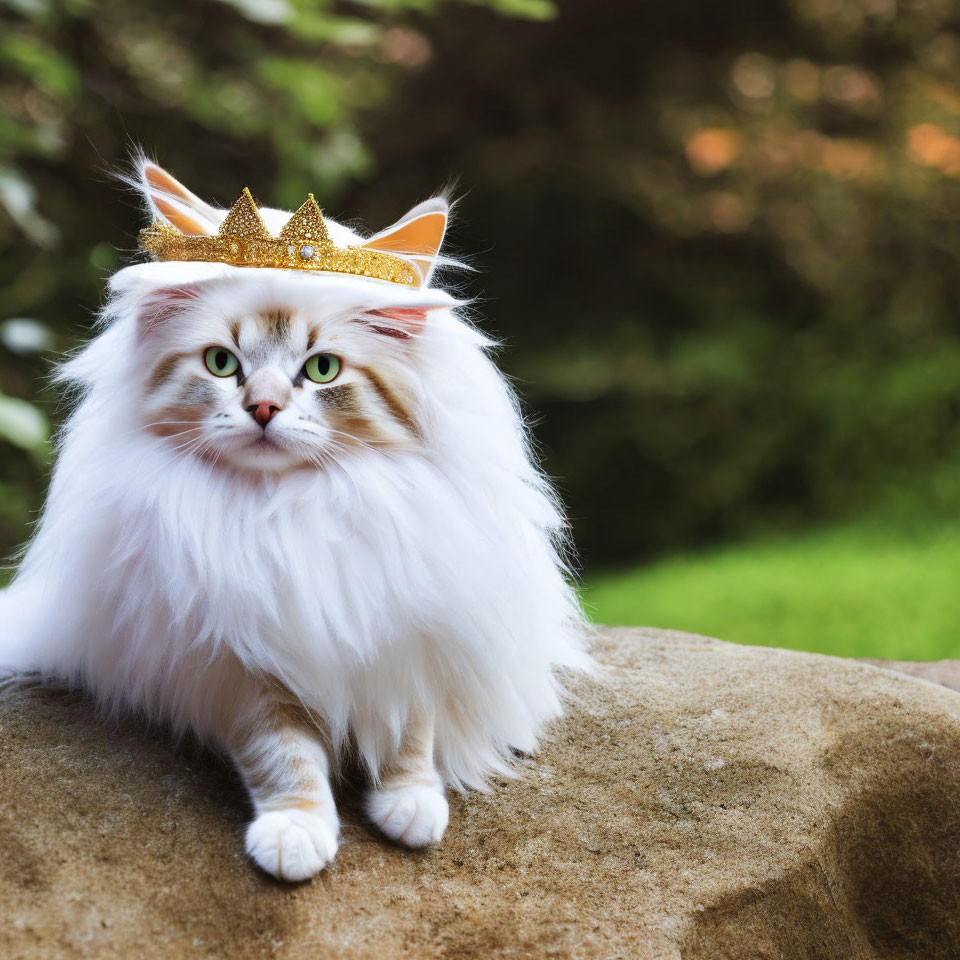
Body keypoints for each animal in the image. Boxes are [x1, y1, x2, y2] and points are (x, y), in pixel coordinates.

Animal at [0, 159, 588, 884]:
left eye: (322, 369)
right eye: (222, 364)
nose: (263, 408)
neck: (291, 510)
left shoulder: (412, 622)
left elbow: (410, 733)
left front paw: (411, 807)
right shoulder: (239, 662)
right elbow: (284, 757)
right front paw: (295, 837)